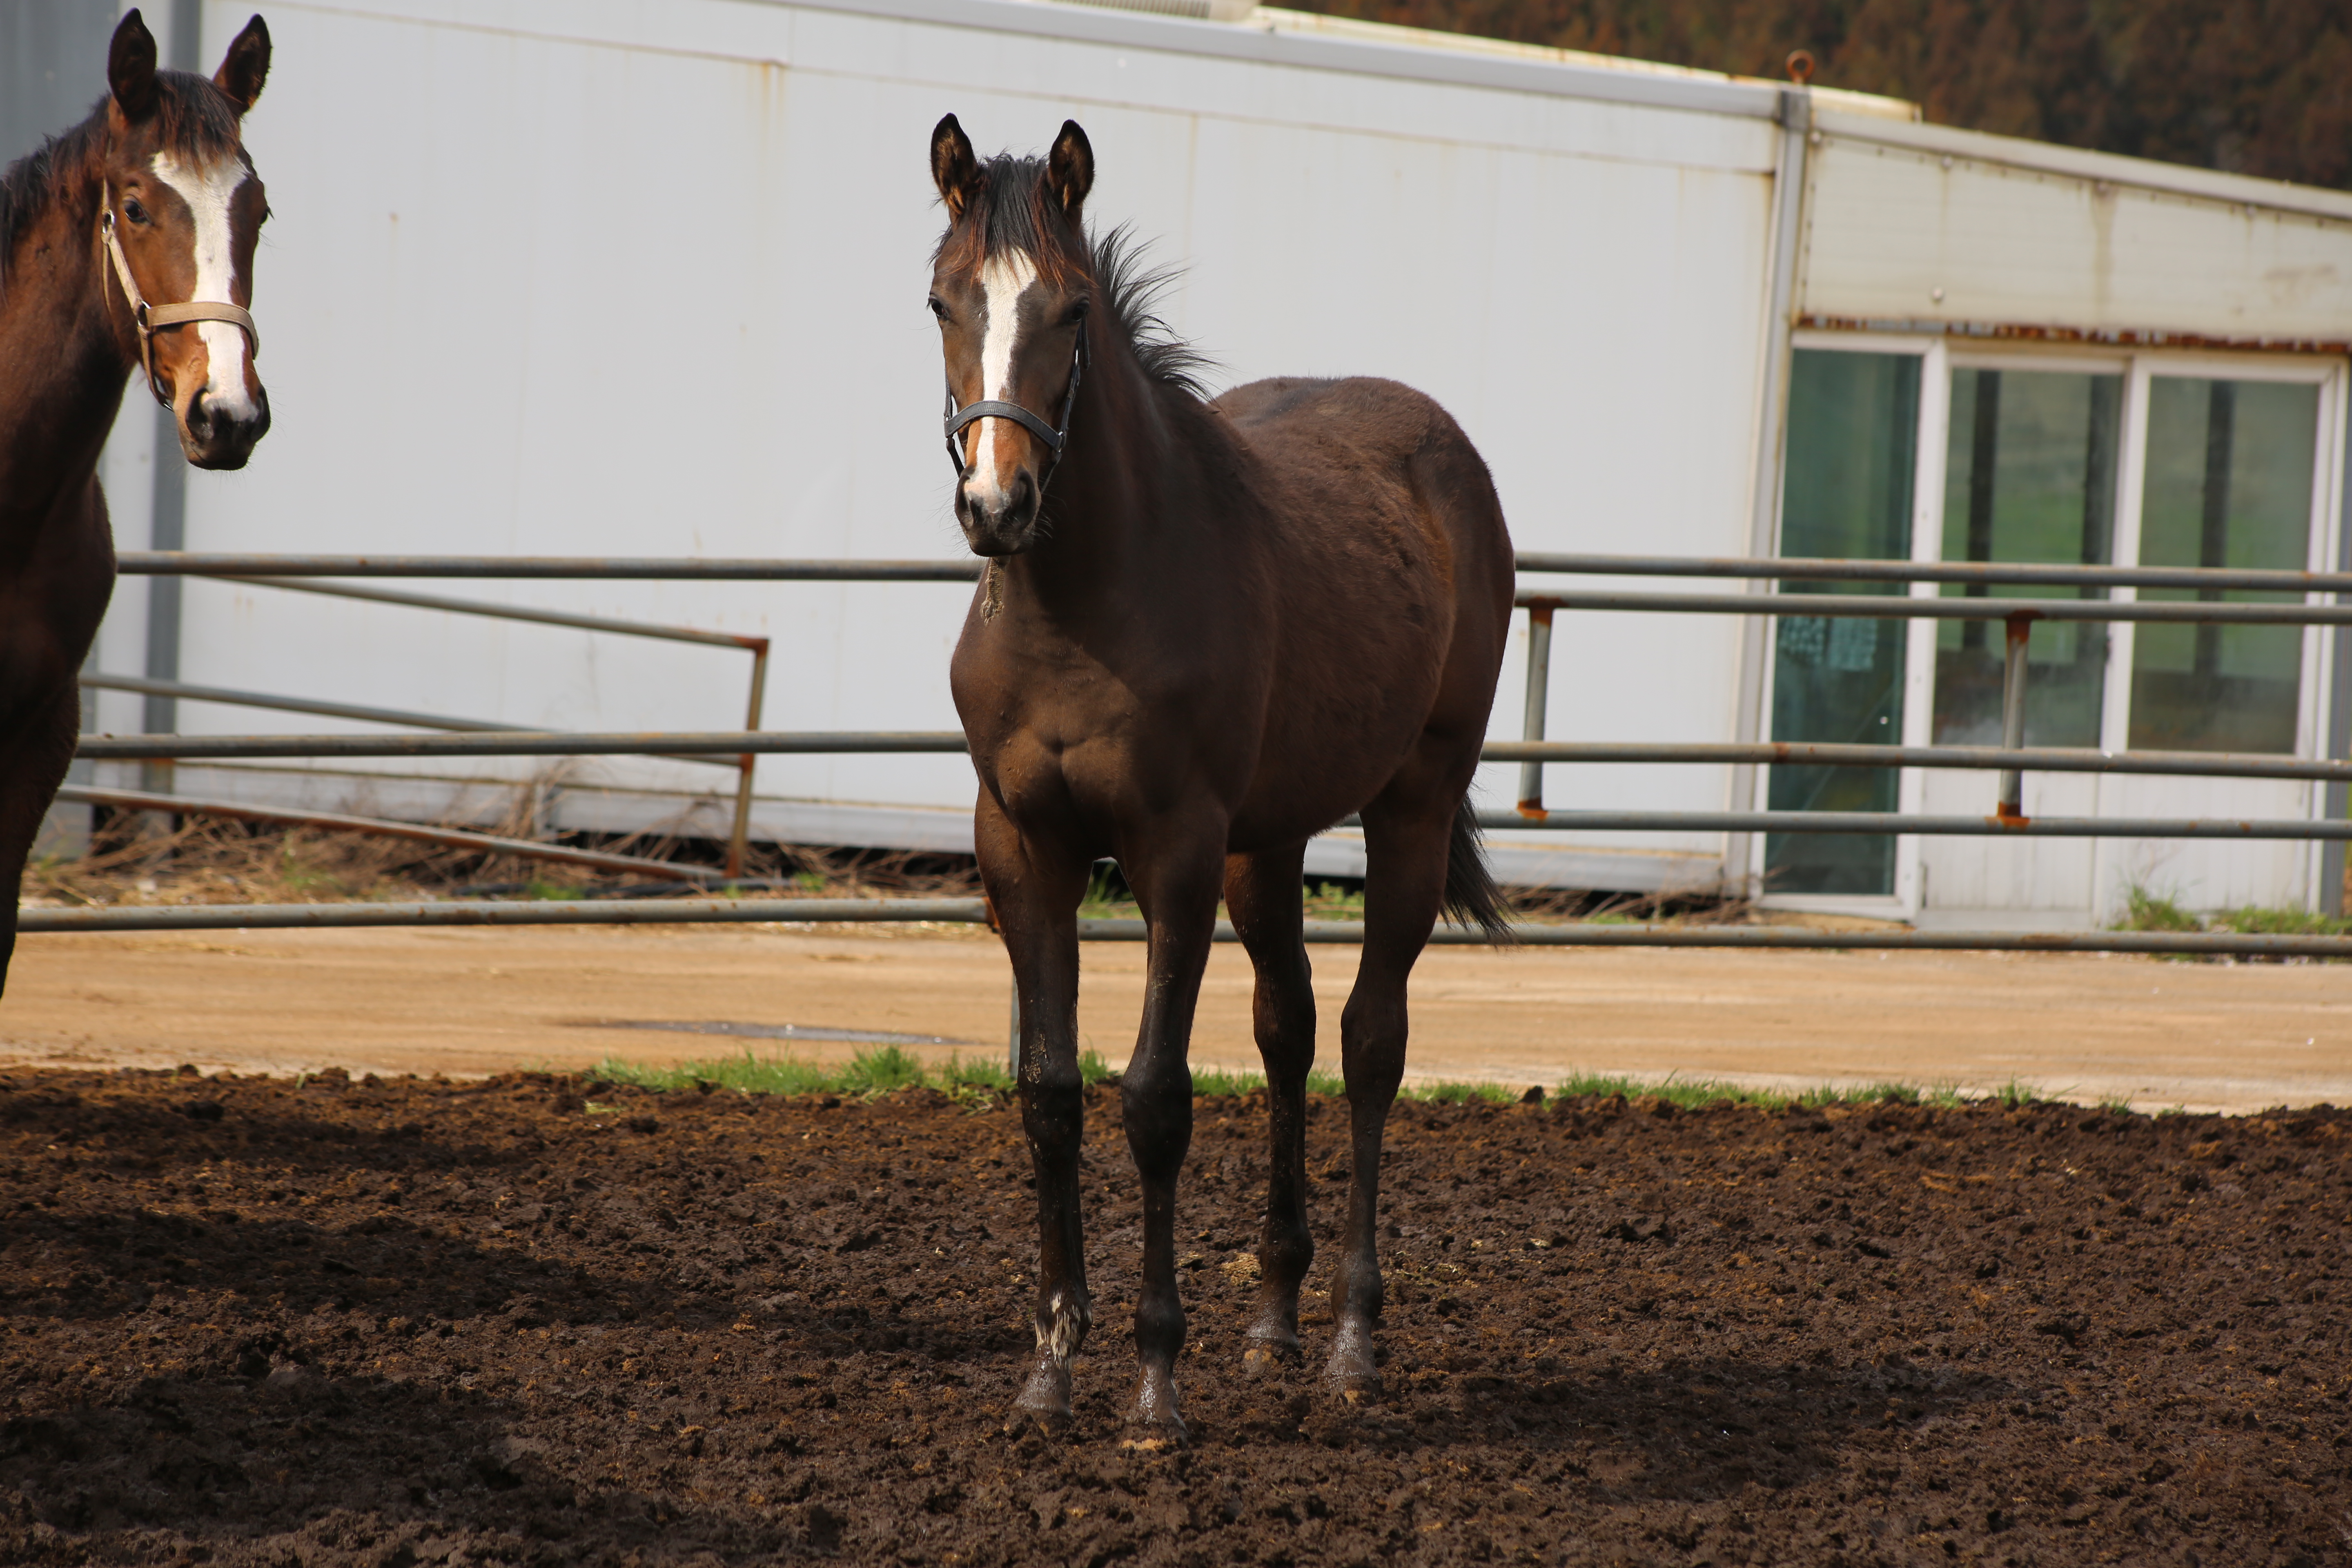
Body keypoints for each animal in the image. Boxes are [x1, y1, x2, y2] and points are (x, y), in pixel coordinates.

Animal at [927, 116, 1515, 1439]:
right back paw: (1274, 1317)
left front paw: (1154, 1381)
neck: (1086, 601)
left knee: (1369, 1038)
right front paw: (1048, 1368)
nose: (997, 504)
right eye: (941, 299)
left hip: (1406, 807)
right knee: (1288, 1023)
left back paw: (1349, 1338)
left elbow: (1155, 1098)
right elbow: (1049, 1093)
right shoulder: (1022, 848)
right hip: (1270, 841)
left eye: (1073, 309)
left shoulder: (1176, 852)